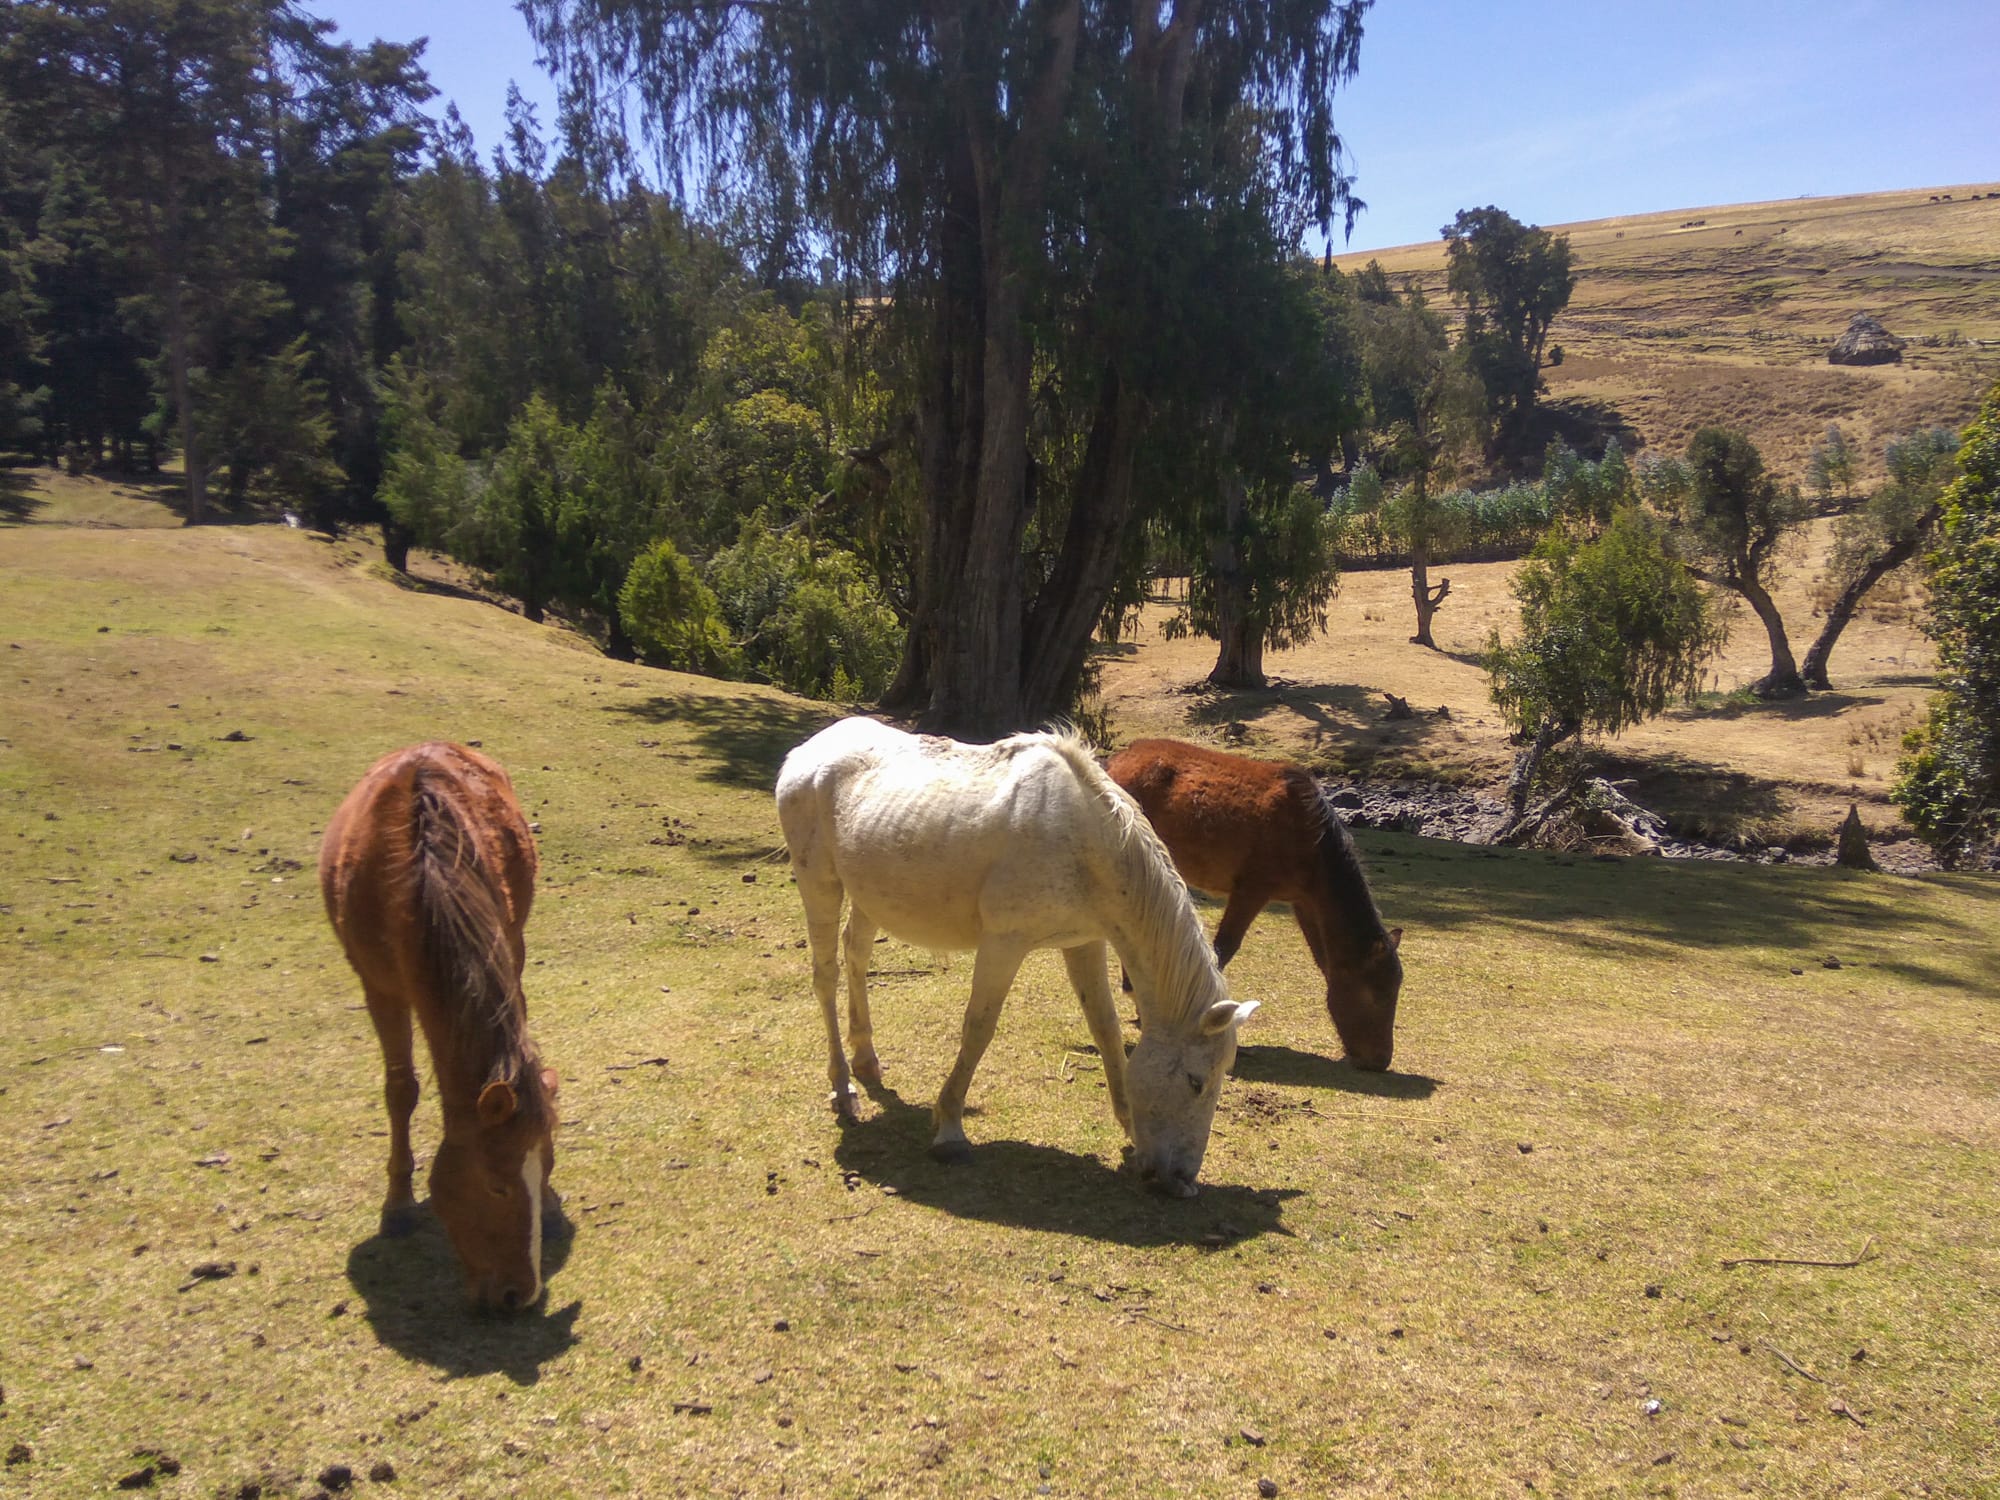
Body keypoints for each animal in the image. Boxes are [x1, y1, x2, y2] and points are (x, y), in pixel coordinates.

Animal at [320, 748, 560, 1312]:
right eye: (496, 1186)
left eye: (547, 1166)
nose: (518, 1295)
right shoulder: (378, 987)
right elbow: (400, 1090)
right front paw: (397, 1205)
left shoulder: (502, 944)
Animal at [772, 716, 1256, 1200]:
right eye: (1196, 1081)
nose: (1183, 1181)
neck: (1084, 841)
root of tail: (807, 752)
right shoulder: (1004, 943)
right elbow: (979, 1029)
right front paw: (949, 1129)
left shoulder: (1084, 943)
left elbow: (1106, 1028)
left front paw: (1129, 1131)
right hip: (820, 884)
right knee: (826, 975)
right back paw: (842, 1087)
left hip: (868, 895)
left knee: (856, 955)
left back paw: (866, 1060)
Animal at [1104, 736, 1400, 1072]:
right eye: (1376, 993)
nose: (1379, 1060)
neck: (1311, 841)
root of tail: (1113, 762)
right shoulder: (1253, 889)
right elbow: (1224, 948)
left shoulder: (1303, 900)